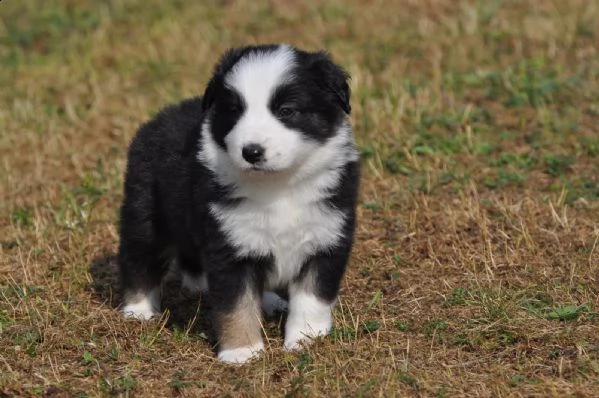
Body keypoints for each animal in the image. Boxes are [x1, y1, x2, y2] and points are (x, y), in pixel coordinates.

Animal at [118, 43, 360, 364]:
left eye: (286, 111)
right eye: (235, 111)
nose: (251, 152)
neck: (278, 186)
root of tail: (159, 116)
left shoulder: (327, 238)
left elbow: (313, 297)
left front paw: (306, 339)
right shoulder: (229, 246)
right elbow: (236, 304)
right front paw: (242, 352)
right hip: (145, 213)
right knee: (139, 259)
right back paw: (139, 310)